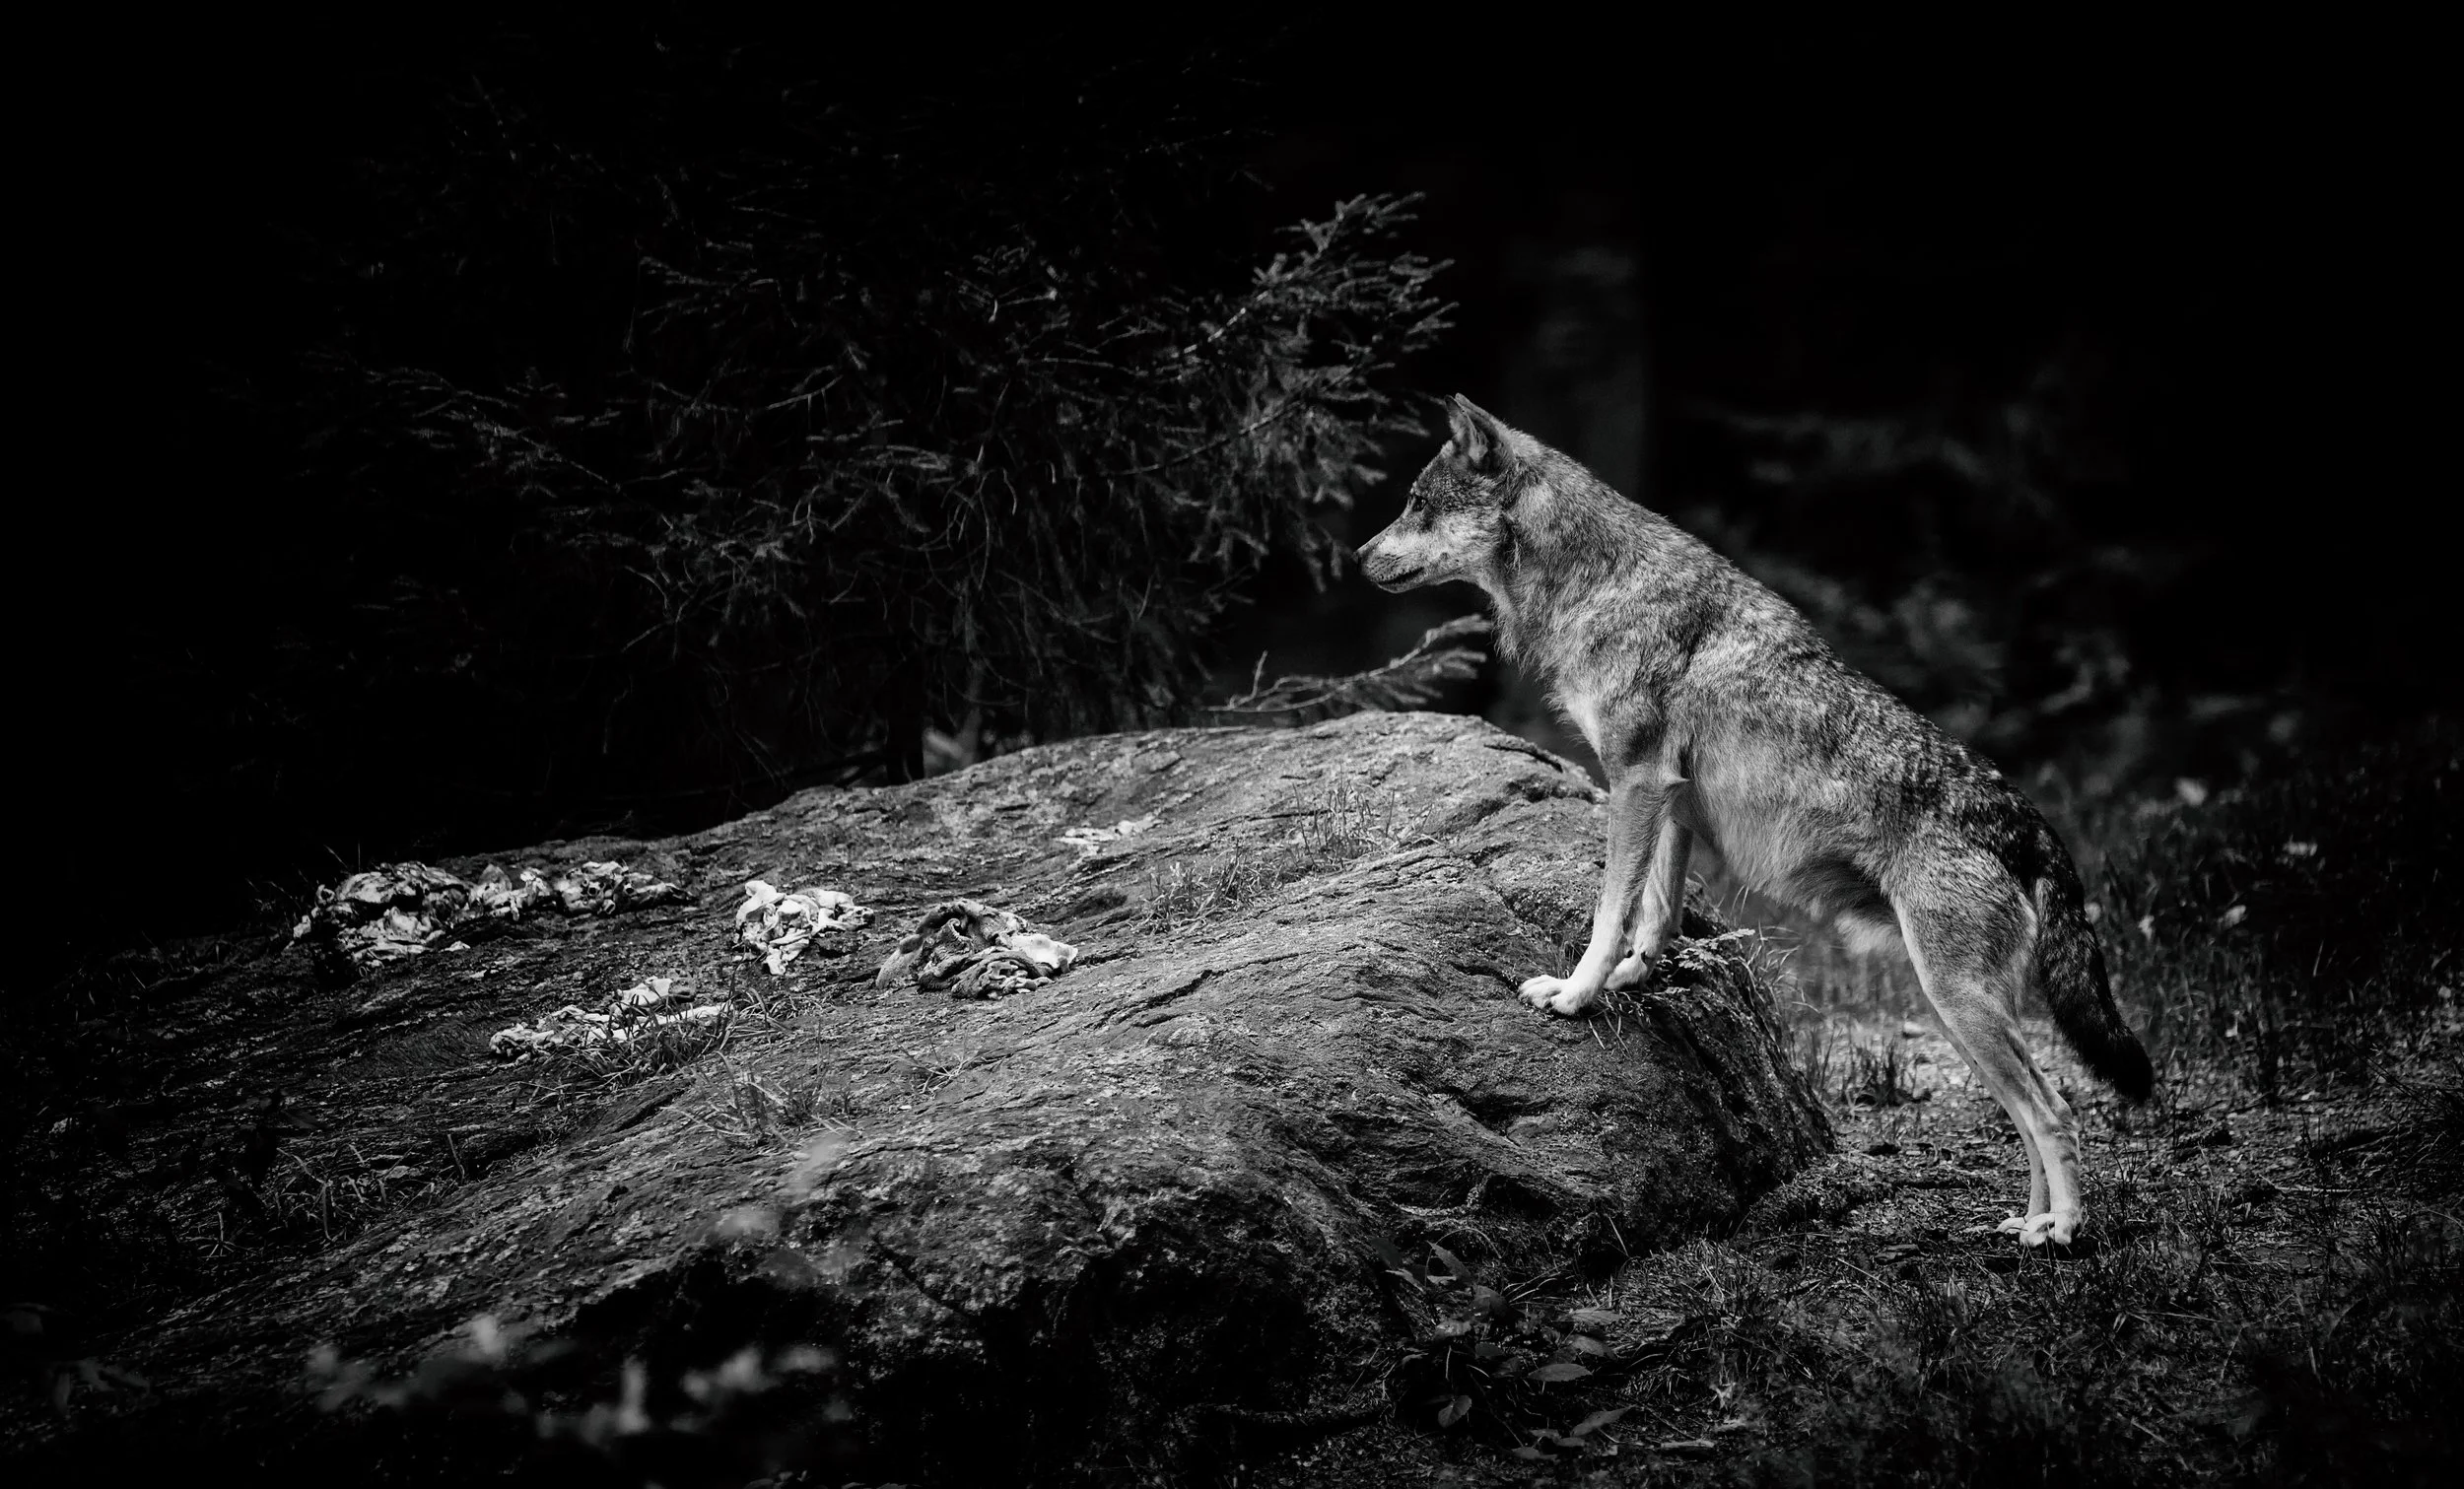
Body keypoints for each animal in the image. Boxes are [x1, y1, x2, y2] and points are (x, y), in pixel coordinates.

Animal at [1358, 396, 2154, 1246]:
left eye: (1414, 502)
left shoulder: (1636, 781)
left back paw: (2062, 1230)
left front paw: (1576, 993)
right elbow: (1656, 914)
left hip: (1959, 1005)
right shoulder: (1670, 798)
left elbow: (1609, 912)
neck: (1596, 578)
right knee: (2028, 1118)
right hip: (1958, 1014)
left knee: (2057, 1112)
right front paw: (1637, 977)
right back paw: (2025, 1223)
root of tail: (2024, 817)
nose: (1358, 553)